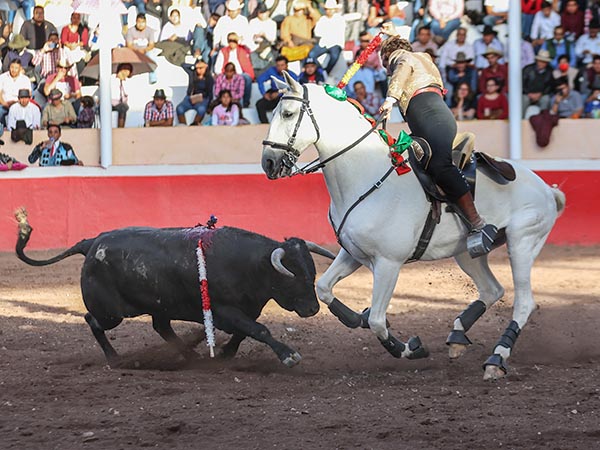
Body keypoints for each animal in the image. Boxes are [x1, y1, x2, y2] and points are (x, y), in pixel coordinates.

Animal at [14, 210, 336, 366]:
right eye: (292, 277)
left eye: (312, 273)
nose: (313, 309)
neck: (250, 265)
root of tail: (93, 242)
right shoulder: (226, 310)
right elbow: (259, 330)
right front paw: (288, 355)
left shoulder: (246, 311)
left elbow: (246, 332)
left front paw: (224, 354)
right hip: (111, 313)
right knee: (92, 320)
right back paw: (115, 358)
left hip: (159, 305)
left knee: (162, 328)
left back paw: (192, 356)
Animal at [260, 74, 564, 380]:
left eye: (288, 114)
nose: (268, 163)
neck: (367, 175)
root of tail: (547, 189)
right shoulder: (353, 254)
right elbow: (324, 288)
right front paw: (359, 317)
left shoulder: (388, 263)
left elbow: (379, 320)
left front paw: (409, 348)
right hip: (468, 252)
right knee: (492, 290)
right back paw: (457, 337)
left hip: (521, 243)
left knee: (524, 302)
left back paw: (497, 358)